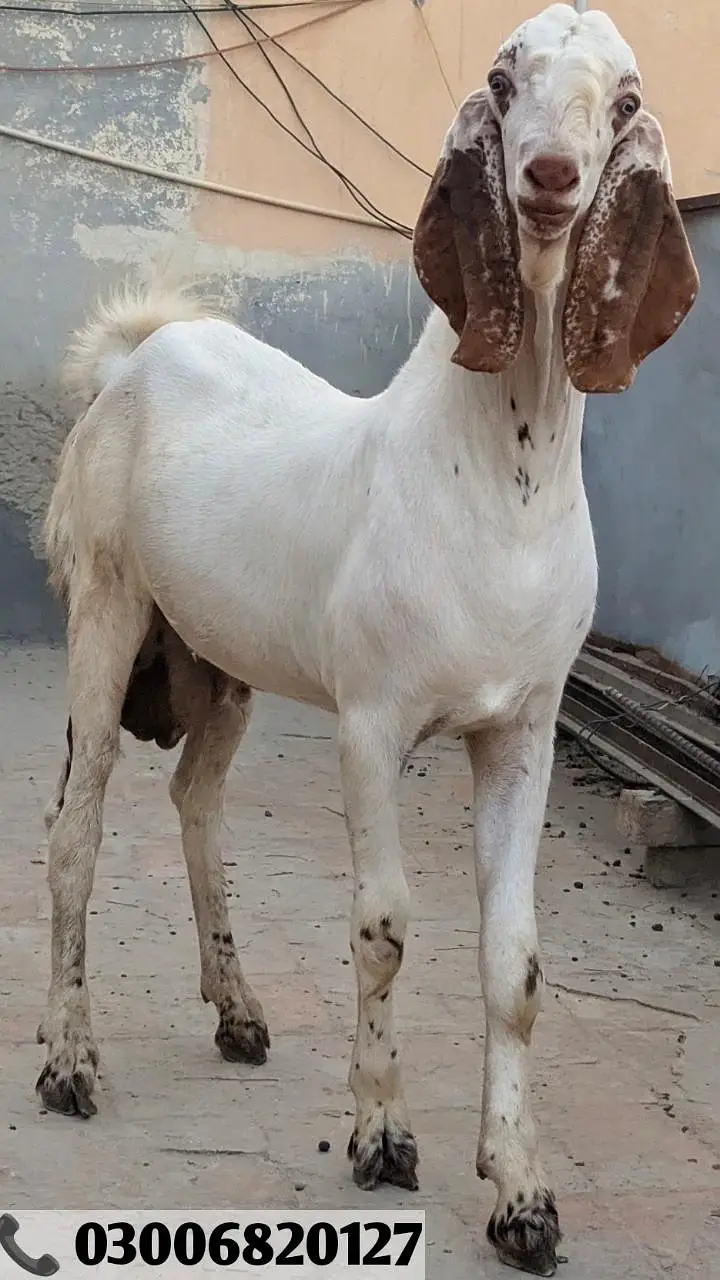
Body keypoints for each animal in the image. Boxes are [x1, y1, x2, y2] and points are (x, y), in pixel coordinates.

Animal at [38, 5, 697, 1275]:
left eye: (628, 98)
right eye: (503, 77)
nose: (551, 177)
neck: (496, 474)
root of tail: (135, 355)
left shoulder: (524, 731)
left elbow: (516, 961)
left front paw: (522, 1190)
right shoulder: (371, 723)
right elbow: (384, 926)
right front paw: (383, 1132)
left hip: (222, 664)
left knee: (195, 799)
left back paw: (239, 1008)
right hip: (104, 611)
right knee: (74, 831)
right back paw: (65, 1057)